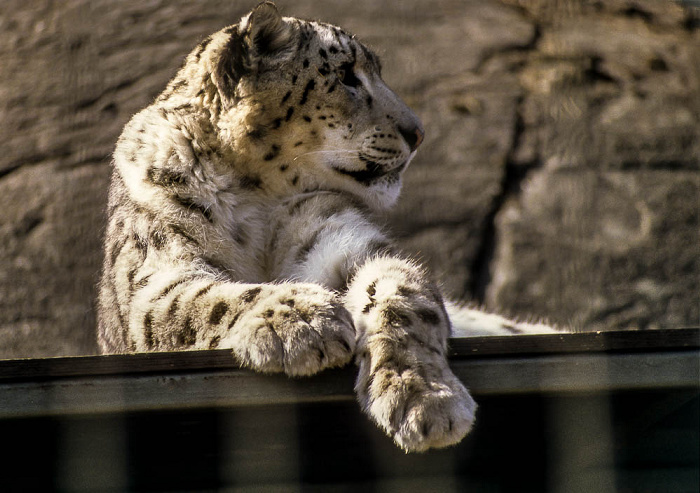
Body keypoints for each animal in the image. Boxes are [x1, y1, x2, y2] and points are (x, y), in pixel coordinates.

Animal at [98, 1, 556, 452]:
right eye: (346, 75)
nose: (418, 133)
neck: (256, 199)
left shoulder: (342, 238)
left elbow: (401, 292)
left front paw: (422, 397)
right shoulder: (154, 273)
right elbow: (201, 300)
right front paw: (304, 319)